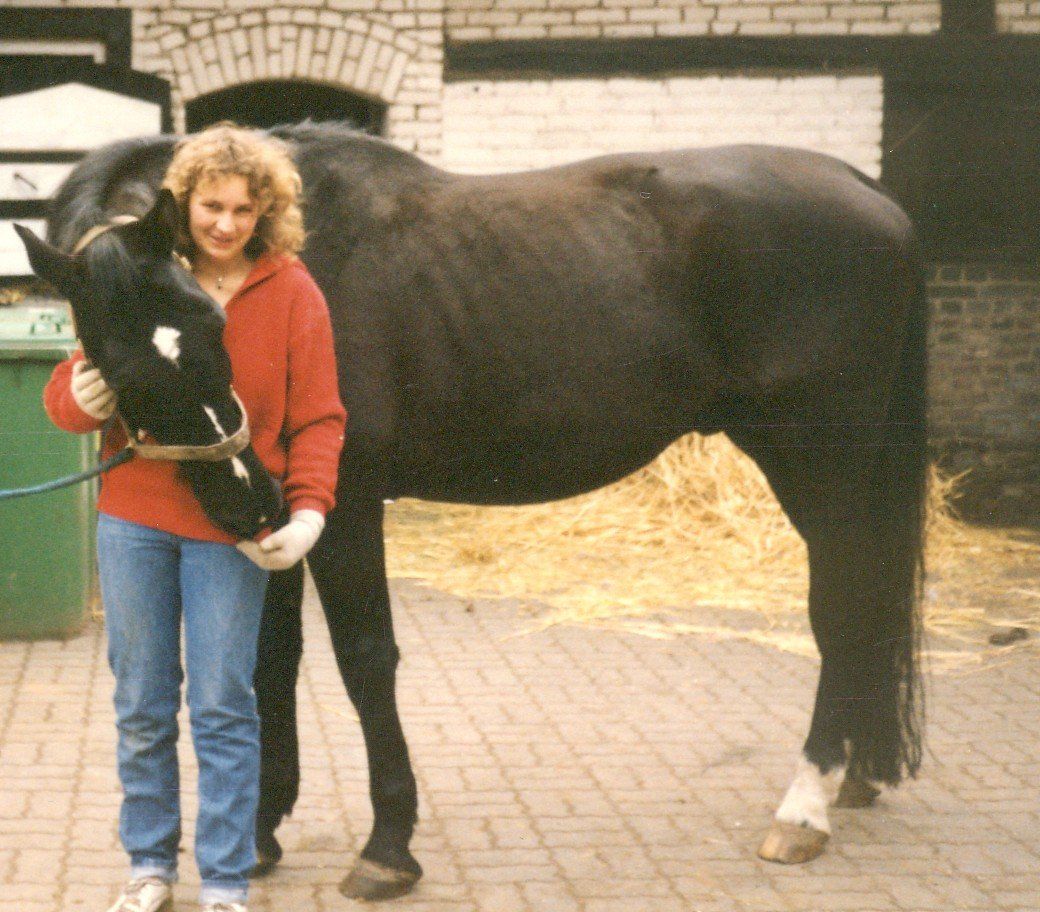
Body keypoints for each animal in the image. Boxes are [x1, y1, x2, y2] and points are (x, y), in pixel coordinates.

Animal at [25, 123, 927, 901]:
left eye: (212, 323)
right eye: (118, 368)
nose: (248, 496)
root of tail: (867, 190)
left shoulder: (345, 506)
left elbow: (364, 661)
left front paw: (387, 846)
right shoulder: (281, 531)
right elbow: (267, 663)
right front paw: (261, 831)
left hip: (818, 466)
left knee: (843, 607)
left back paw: (805, 804)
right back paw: (858, 775)